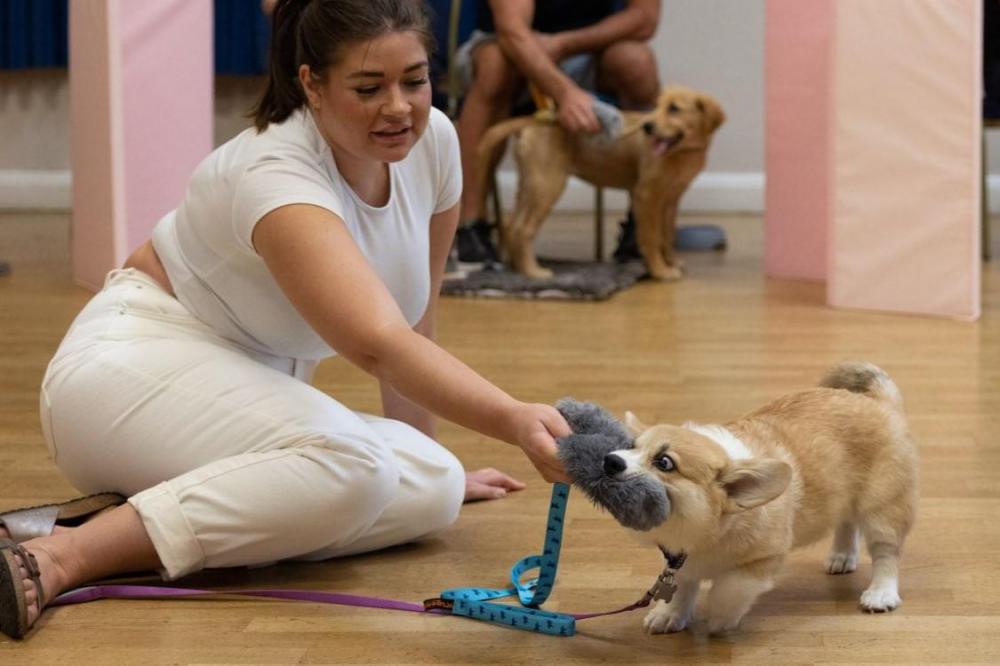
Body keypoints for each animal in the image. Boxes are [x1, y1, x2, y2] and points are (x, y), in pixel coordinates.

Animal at [478, 85, 728, 278]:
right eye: (657, 107)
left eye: (674, 109)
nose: (647, 127)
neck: (684, 151)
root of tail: (537, 120)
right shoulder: (646, 195)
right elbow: (651, 236)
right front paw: (660, 271)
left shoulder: (671, 199)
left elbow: (667, 235)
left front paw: (672, 262)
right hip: (548, 184)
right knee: (523, 228)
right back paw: (533, 272)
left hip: (530, 184)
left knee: (510, 223)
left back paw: (514, 265)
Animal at [604, 364, 916, 632]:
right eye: (631, 447)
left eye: (664, 462)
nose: (610, 461)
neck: (707, 532)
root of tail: (878, 401)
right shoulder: (679, 560)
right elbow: (681, 587)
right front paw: (670, 615)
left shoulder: (761, 562)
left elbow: (728, 591)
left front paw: (721, 620)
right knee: (846, 522)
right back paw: (841, 556)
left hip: (882, 511)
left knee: (885, 554)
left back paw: (880, 594)